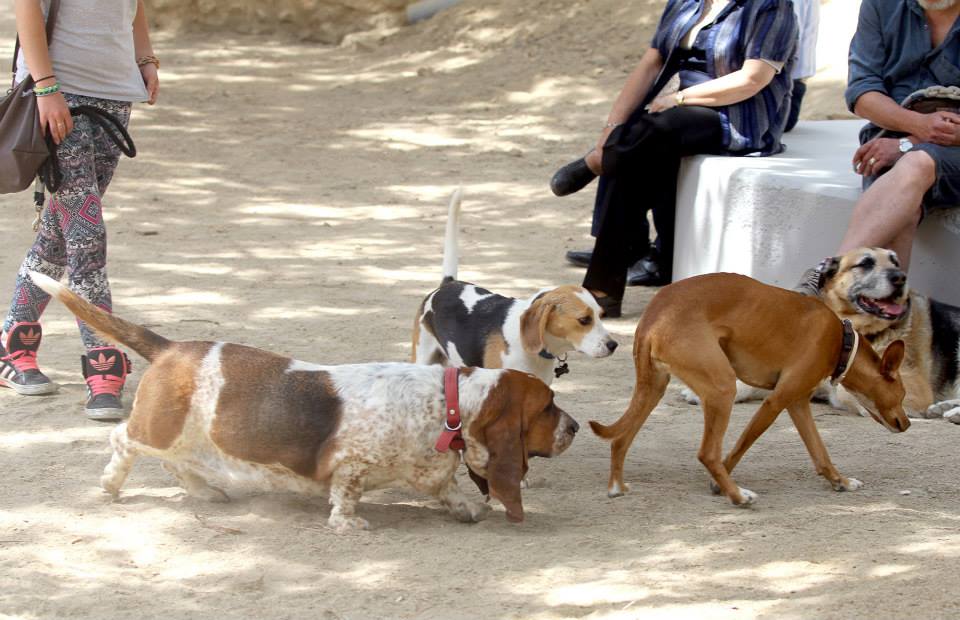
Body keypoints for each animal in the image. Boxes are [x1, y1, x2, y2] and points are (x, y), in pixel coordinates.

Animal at [588, 274, 912, 506]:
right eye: (902, 395)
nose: (907, 423)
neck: (841, 340)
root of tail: (653, 315)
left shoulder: (797, 403)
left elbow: (820, 453)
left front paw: (840, 482)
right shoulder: (776, 402)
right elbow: (740, 447)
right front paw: (718, 486)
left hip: (653, 389)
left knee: (620, 440)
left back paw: (616, 487)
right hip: (722, 389)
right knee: (708, 453)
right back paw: (738, 496)